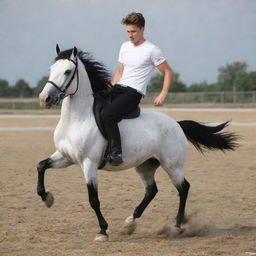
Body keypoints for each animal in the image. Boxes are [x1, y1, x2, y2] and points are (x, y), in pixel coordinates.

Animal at [37, 46, 237, 242]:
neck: (78, 118)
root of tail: (177, 124)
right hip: (145, 166)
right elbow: (41, 165)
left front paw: (102, 231)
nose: (44, 98)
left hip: (173, 166)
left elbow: (93, 199)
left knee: (183, 188)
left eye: (67, 71)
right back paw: (130, 223)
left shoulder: (89, 163)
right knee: (152, 190)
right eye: (51, 69)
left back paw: (177, 225)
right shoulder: (65, 157)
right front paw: (47, 198)